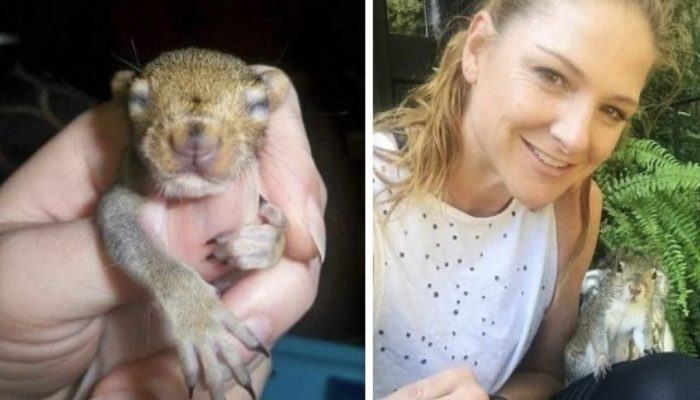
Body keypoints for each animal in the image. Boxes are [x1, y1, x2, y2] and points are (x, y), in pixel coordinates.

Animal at [93, 49, 290, 400]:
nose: (195, 139)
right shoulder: (117, 202)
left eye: (259, 105)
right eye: (138, 99)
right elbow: (136, 244)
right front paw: (201, 319)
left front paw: (263, 243)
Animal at [564, 250, 668, 384]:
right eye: (619, 267)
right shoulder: (599, 314)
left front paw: (649, 350)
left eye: (654, 275)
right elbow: (598, 336)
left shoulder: (643, 319)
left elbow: (641, 336)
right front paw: (602, 360)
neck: (627, 306)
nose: (635, 289)